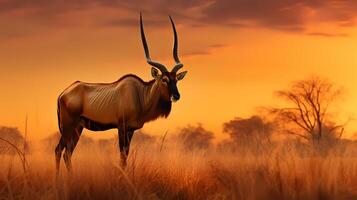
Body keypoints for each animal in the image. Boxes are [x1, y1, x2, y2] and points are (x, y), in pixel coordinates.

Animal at [55, 13, 186, 172]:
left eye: (176, 79)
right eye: (164, 80)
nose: (176, 96)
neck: (140, 95)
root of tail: (63, 94)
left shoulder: (131, 130)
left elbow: (126, 155)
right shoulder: (121, 127)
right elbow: (122, 156)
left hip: (77, 128)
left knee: (65, 152)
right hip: (68, 127)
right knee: (60, 151)